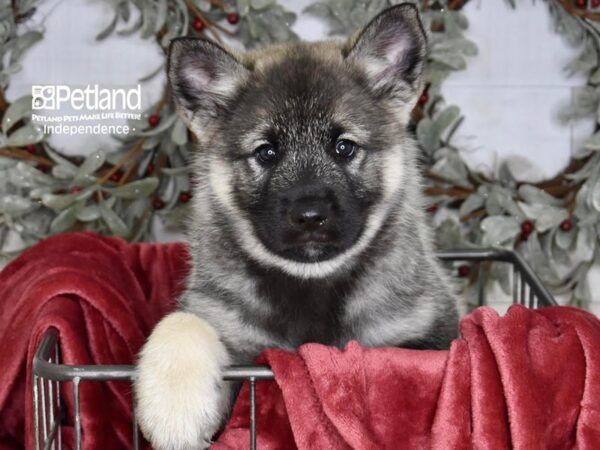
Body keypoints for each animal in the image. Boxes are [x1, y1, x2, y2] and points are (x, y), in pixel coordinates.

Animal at [134, 4, 458, 450]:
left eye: (344, 147)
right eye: (266, 153)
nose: (309, 216)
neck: (312, 287)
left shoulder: (429, 334)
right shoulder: (228, 332)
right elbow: (181, 321)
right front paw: (173, 407)